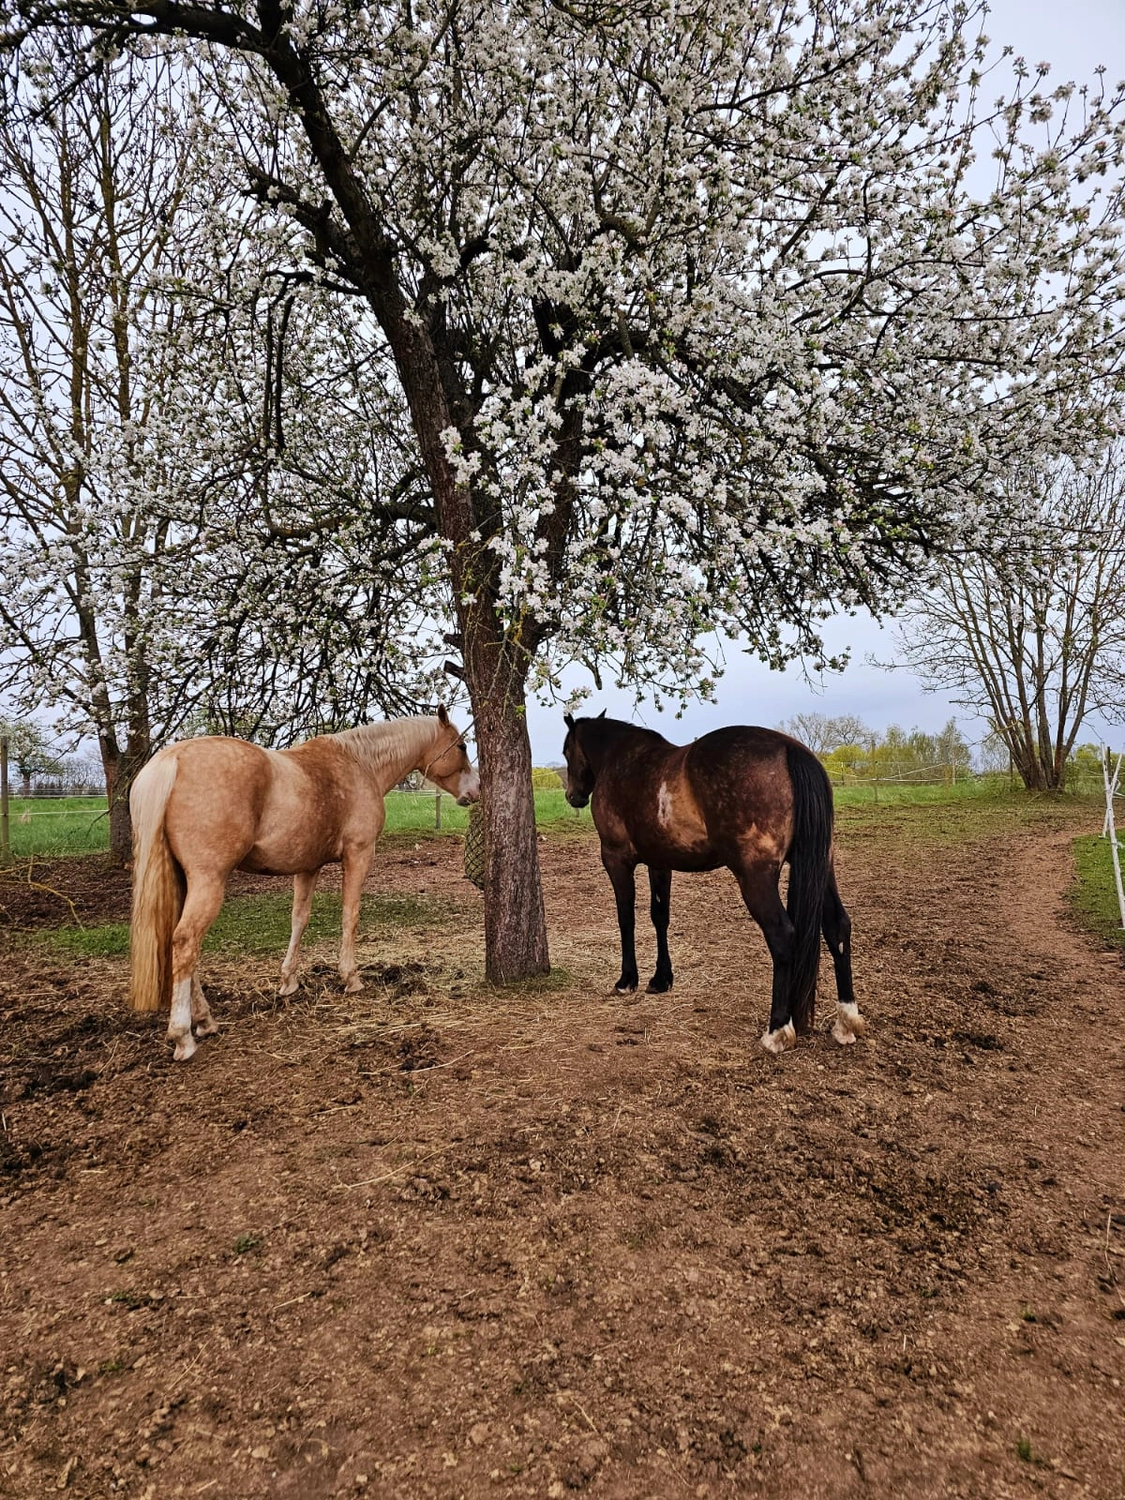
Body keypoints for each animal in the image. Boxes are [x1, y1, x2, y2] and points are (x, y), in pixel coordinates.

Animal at [129, 709, 479, 1060]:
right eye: (462, 746)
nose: (475, 792)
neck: (361, 763)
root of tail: (172, 761)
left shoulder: (308, 867)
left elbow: (299, 919)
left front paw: (289, 981)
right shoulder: (358, 855)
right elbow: (350, 916)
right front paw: (350, 977)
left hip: (184, 881)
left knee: (180, 944)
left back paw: (205, 1020)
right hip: (208, 880)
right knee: (186, 942)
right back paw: (183, 1036)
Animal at [561, 713, 864, 1054]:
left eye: (567, 751)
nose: (573, 796)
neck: (620, 759)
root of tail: (789, 749)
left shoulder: (615, 860)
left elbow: (626, 919)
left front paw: (627, 980)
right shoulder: (660, 862)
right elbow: (659, 917)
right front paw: (661, 978)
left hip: (755, 877)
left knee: (782, 935)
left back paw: (777, 1030)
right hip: (820, 867)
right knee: (838, 927)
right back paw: (846, 1021)